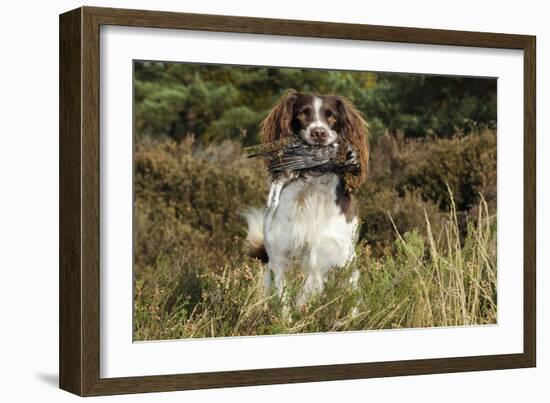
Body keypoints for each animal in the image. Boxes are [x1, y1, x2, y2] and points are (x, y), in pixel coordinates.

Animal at [247, 90, 370, 306]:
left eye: (332, 116)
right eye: (302, 114)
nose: (319, 133)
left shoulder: (342, 259)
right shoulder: (280, 260)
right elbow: (284, 305)